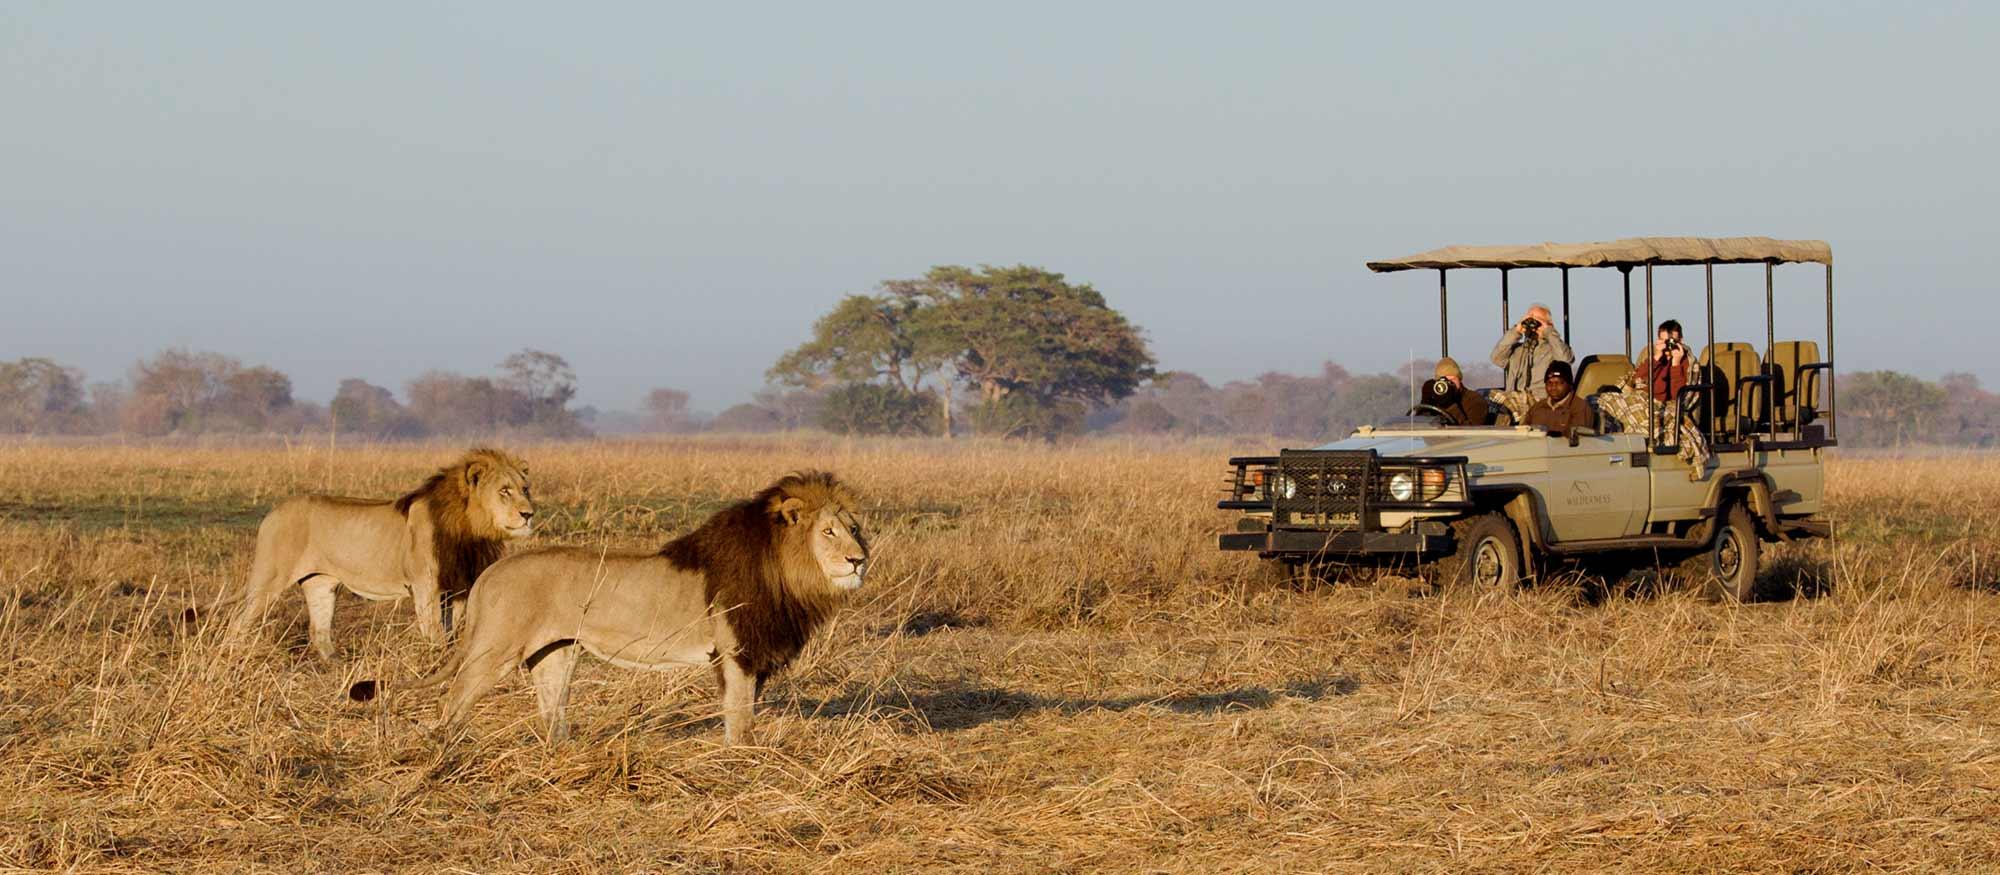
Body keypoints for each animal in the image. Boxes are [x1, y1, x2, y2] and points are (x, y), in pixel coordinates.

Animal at [219, 447, 536, 659]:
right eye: (504, 491)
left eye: (525, 489)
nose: (529, 514)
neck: (470, 529)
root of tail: (274, 511)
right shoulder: (425, 586)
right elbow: (434, 632)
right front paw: (434, 662)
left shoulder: (457, 587)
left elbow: (452, 633)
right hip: (268, 581)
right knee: (237, 623)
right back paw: (232, 656)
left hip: (321, 583)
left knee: (319, 631)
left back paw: (336, 667)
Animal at [352, 471, 868, 743]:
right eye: (828, 532)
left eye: (855, 529)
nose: (859, 560)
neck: (787, 569)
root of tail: (492, 572)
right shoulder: (737, 651)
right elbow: (740, 716)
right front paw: (743, 759)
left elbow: (745, 711)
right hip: (494, 648)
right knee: (455, 696)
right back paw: (448, 746)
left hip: (556, 653)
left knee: (550, 707)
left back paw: (560, 749)